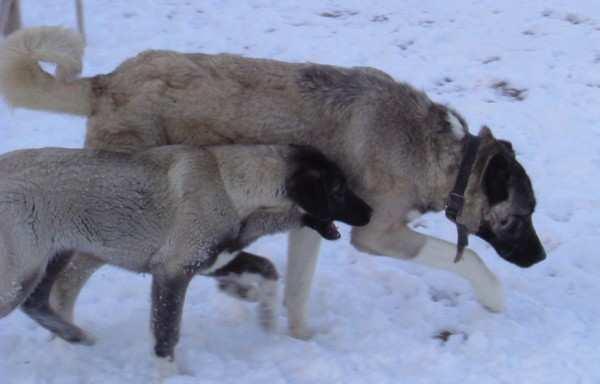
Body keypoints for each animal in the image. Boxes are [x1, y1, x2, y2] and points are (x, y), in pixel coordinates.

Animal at [0, 26, 544, 340]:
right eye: (521, 217)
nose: (540, 258)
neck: (444, 156)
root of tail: (106, 81)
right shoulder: (378, 233)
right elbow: (467, 258)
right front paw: (494, 297)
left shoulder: (314, 222)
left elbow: (297, 289)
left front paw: (302, 337)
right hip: (118, 219)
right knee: (64, 284)